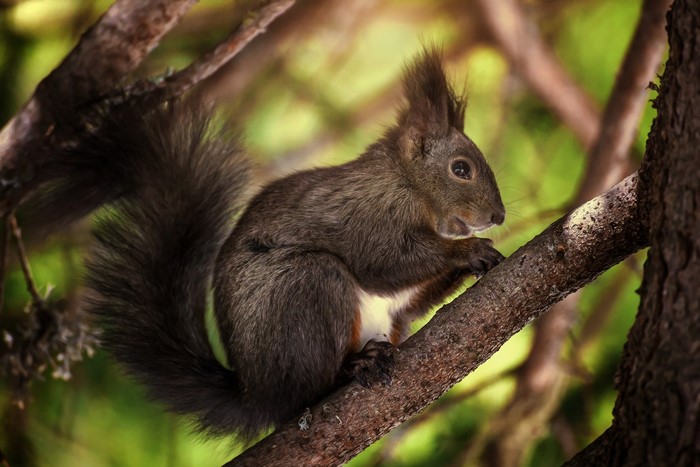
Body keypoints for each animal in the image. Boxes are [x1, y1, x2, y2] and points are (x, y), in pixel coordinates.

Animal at [64, 48, 505, 439]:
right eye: (460, 169)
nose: (499, 217)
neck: (406, 183)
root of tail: (258, 396)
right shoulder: (369, 216)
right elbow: (384, 264)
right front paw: (469, 251)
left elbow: (411, 298)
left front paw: (475, 262)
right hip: (306, 287)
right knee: (308, 388)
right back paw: (352, 367)